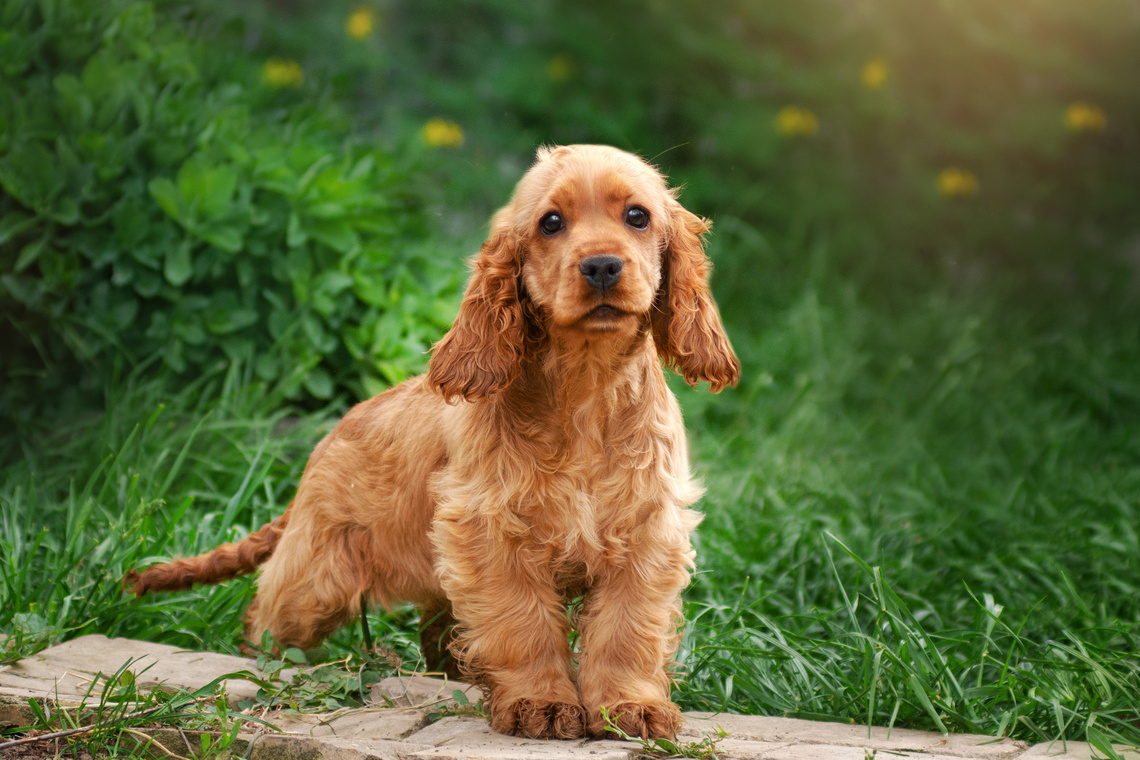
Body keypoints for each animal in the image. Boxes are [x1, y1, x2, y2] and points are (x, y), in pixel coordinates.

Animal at [129, 145, 743, 738]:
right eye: (550, 223)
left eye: (637, 216)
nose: (601, 266)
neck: (585, 389)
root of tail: (324, 445)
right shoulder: (492, 533)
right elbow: (523, 622)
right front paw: (540, 703)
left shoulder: (645, 535)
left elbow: (626, 630)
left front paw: (628, 707)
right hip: (316, 580)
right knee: (268, 613)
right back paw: (261, 661)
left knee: (437, 629)